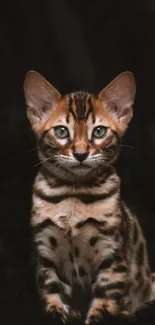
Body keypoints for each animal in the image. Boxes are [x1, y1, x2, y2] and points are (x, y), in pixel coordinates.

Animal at [23, 71, 154, 322]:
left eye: (99, 131)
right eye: (61, 131)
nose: (81, 154)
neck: (73, 193)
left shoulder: (112, 255)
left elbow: (105, 299)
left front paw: (97, 315)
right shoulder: (45, 250)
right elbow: (50, 287)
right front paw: (58, 311)